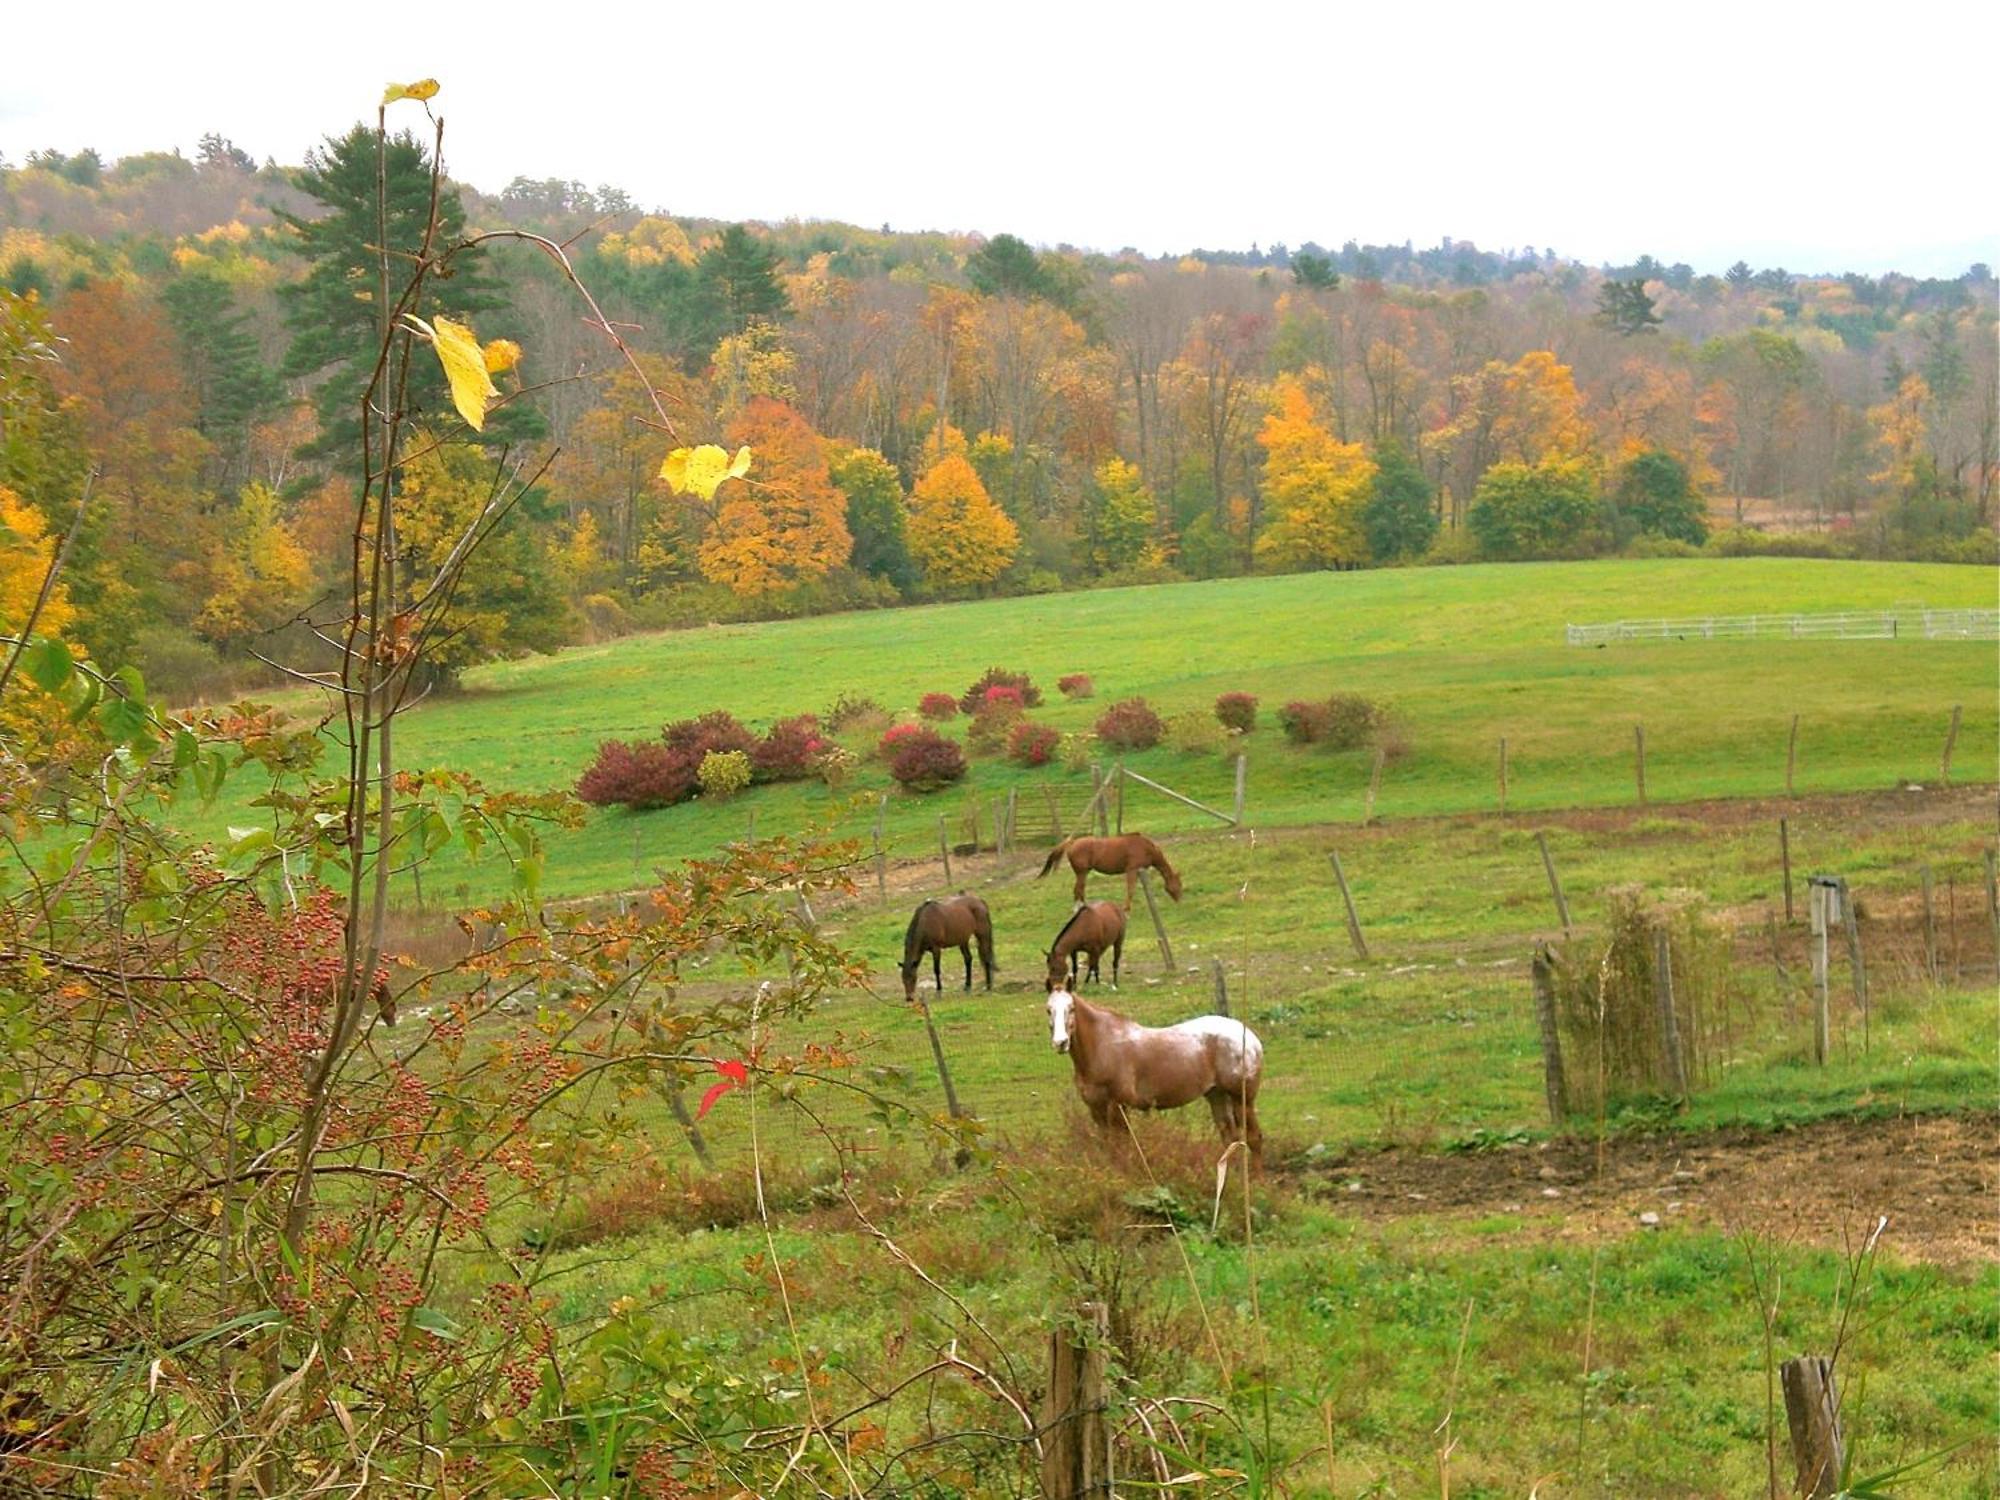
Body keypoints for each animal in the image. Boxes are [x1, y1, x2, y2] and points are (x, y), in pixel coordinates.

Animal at [1040, 828, 1176, 912]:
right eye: (1178, 883)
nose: (1178, 899)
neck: (1145, 847)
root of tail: (1072, 842)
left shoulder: (1139, 871)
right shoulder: (1131, 870)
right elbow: (1130, 889)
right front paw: (1126, 909)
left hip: (1083, 873)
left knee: (1080, 889)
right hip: (1081, 873)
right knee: (1078, 889)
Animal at [1048, 992, 1264, 1168]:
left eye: (1071, 1009)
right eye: (1048, 1010)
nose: (1060, 1042)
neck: (1103, 1046)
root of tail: (1251, 1039)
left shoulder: (1118, 1106)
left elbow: (1122, 1145)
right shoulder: (1096, 1109)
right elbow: (1109, 1146)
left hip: (1241, 1099)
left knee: (1254, 1138)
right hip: (1216, 1095)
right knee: (1230, 1139)